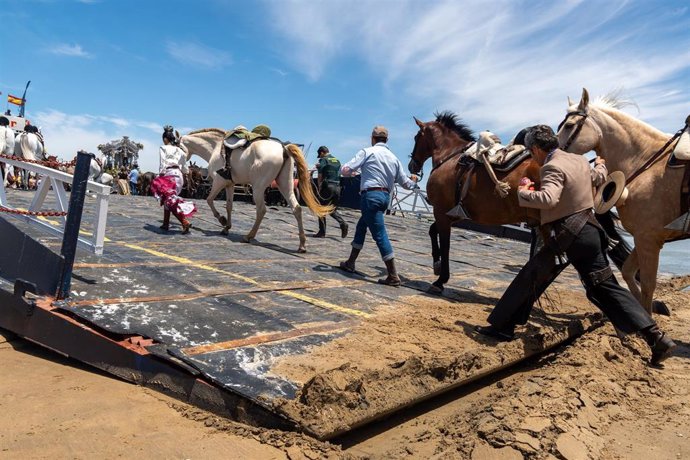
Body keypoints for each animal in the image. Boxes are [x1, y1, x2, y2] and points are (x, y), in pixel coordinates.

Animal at [179, 127, 332, 253]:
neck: (216, 147)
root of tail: (283, 148)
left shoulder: (219, 181)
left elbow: (209, 200)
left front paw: (222, 220)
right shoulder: (230, 184)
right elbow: (229, 206)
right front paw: (226, 227)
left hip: (258, 188)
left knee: (262, 210)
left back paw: (249, 236)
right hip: (285, 185)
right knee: (297, 208)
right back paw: (302, 245)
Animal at [404, 112, 544, 292]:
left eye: (416, 137)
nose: (412, 165)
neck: (450, 155)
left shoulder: (441, 211)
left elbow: (445, 243)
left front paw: (441, 279)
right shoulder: (454, 213)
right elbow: (432, 230)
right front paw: (437, 265)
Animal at [552, 88, 688, 314]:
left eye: (569, 125)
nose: (554, 156)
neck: (647, 162)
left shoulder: (649, 239)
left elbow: (648, 286)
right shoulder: (644, 238)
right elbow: (627, 272)